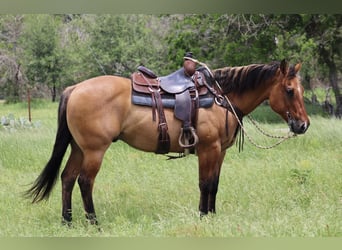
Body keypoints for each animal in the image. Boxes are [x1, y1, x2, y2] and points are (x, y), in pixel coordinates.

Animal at [26, 59, 310, 225]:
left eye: (301, 90)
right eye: (289, 90)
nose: (303, 125)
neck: (221, 97)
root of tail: (74, 88)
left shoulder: (220, 152)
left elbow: (214, 184)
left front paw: (212, 215)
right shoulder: (208, 149)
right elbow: (205, 183)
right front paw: (203, 216)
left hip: (79, 148)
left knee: (67, 178)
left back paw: (67, 221)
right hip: (95, 150)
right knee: (85, 181)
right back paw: (94, 222)